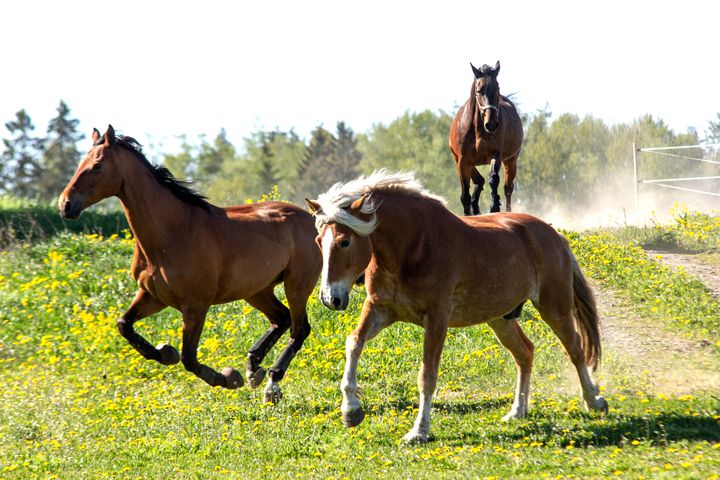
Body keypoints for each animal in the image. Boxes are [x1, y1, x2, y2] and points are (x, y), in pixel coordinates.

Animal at [57, 125, 322, 404]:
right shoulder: (152, 296)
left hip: (297, 285)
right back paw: (254, 367)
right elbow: (124, 325)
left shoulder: (195, 306)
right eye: (80, 163)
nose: (65, 205)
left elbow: (189, 359)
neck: (172, 232)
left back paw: (271, 383)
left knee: (299, 329)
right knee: (281, 319)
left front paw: (227, 377)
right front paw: (165, 352)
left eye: (97, 166)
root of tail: (312, 218)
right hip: (257, 290)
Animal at [304, 171, 608, 444]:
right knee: (525, 353)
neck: (412, 245)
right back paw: (517, 411)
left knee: (575, 349)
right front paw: (351, 410)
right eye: (319, 241)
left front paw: (419, 432)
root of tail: (553, 235)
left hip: (554, 307)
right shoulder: (379, 309)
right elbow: (353, 343)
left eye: (345, 241)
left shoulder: (437, 318)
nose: (330, 298)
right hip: (501, 318)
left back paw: (594, 400)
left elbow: (427, 375)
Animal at [450, 61, 524, 215]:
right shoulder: (463, 161)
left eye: (497, 88)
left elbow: (493, 179)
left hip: (511, 161)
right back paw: (475, 206)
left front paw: (494, 206)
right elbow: (465, 194)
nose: (491, 124)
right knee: (479, 181)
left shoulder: (495, 155)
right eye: (479, 91)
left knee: (508, 188)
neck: (478, 130)